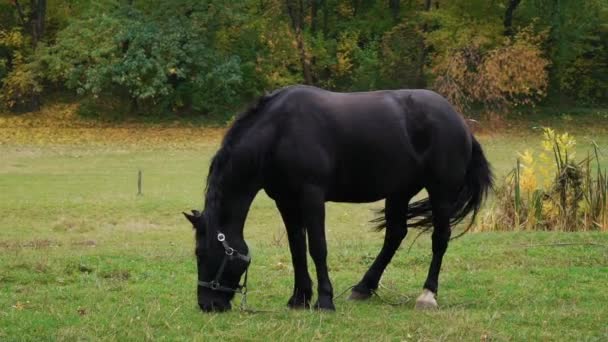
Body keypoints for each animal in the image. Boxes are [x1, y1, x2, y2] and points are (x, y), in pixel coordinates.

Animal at [183, 85, 492, 312]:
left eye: (201, 253)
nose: (207, 304)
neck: (279, 132)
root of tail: (459, 121)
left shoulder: (311, 195)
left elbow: (317, 247)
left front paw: (324, 300)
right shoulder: (285, 200)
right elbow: (297, 248)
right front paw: (299, 299)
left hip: (440, 192)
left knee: (439, 239)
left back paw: (427, 295)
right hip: (399, 192)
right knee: (395, 234)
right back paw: (363, 288)